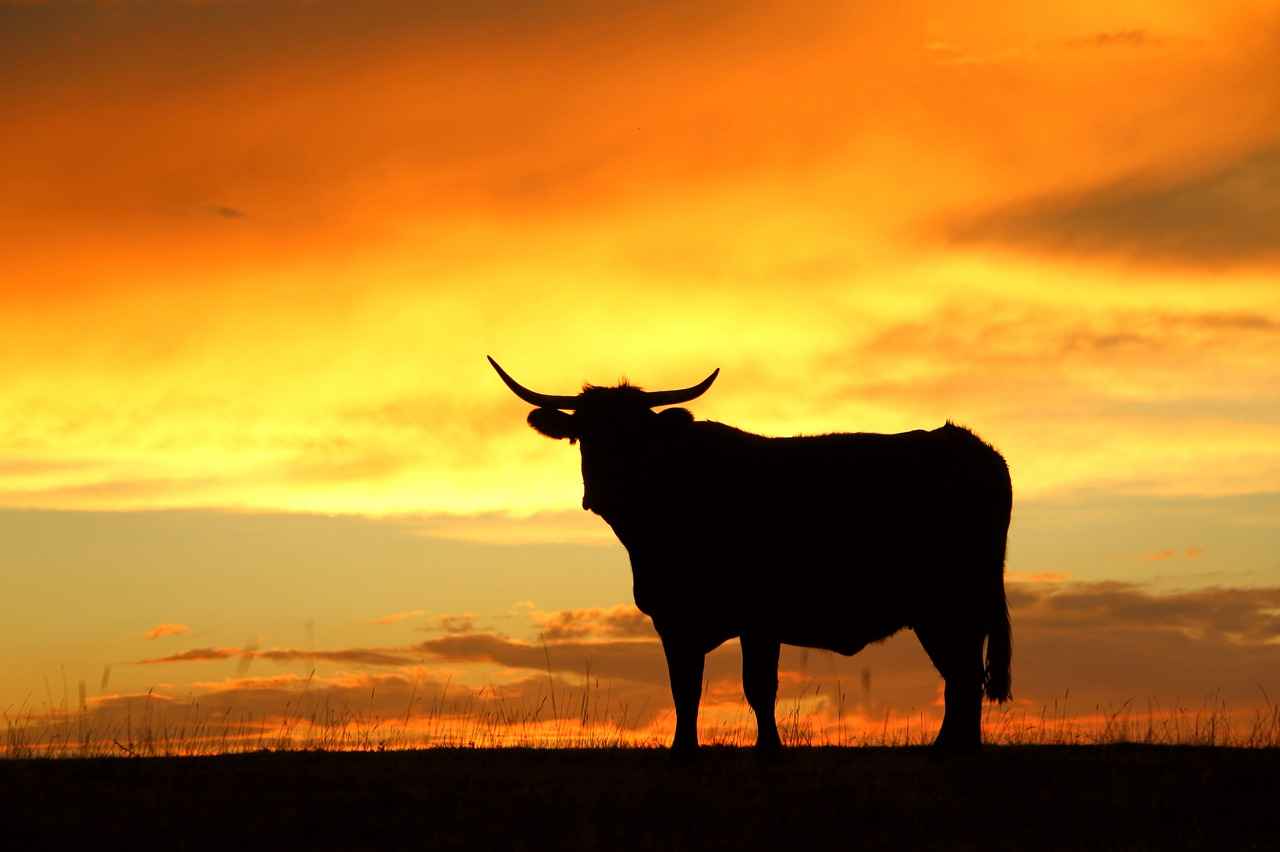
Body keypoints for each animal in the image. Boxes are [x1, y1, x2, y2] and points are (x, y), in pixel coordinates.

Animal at [488, 356, 1012, 754]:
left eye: (639, 438)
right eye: (585, 436)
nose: (605, 490)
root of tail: (970, 444)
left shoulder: (758, 618)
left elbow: (758, 687)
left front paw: (769, 749)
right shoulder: (673, 620)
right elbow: (685, 689)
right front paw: (684, 750)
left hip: (951, 604)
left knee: (964, 677)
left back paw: (952, 750)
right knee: (961, 677)